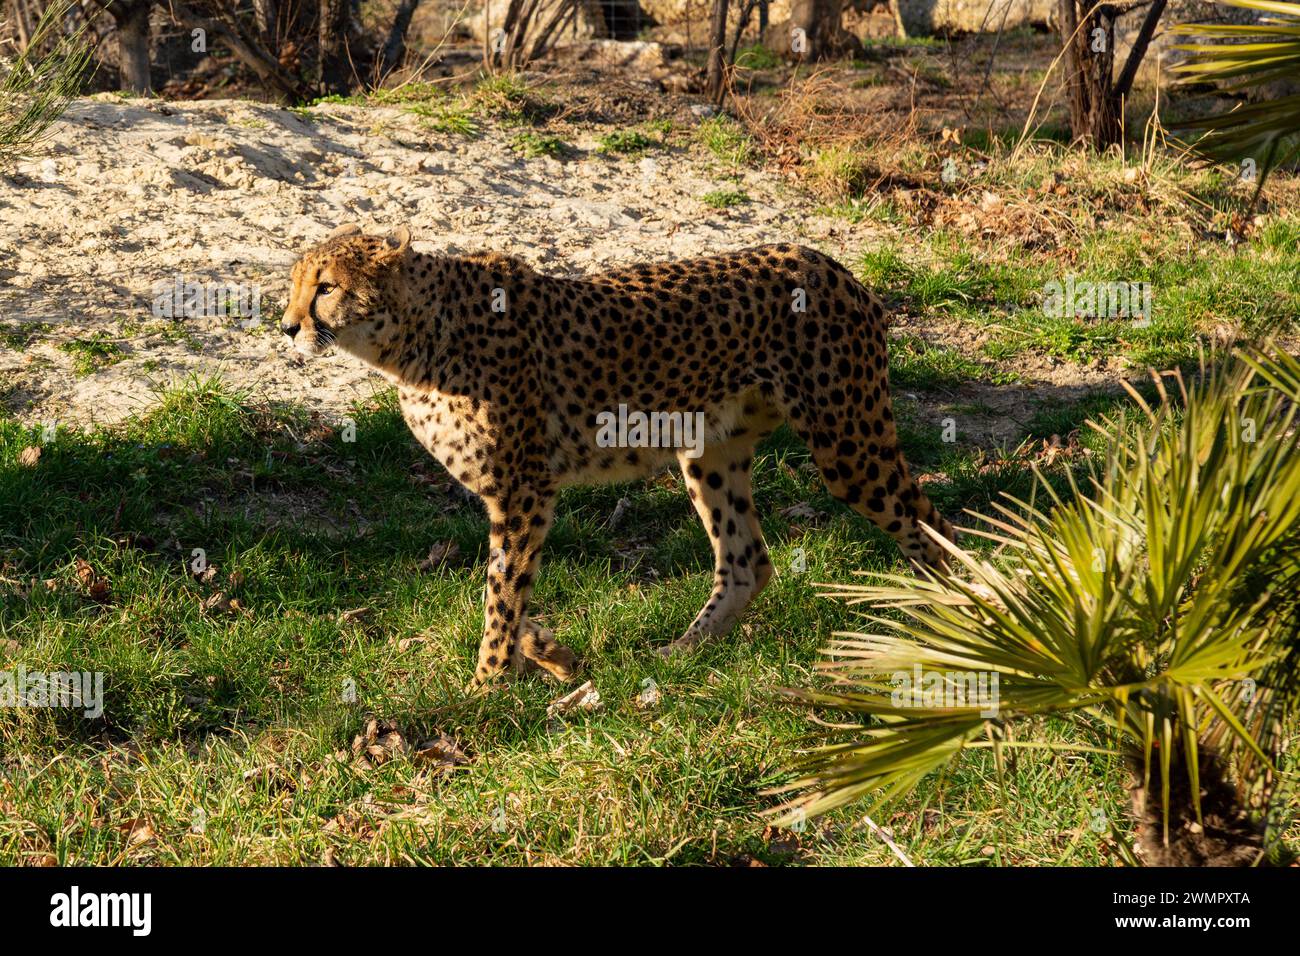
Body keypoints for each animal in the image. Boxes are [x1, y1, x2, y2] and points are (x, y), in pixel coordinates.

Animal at [282, 224, 957, 687]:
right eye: (294, 286)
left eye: (326, 288)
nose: (287, 326)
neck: (413, 342)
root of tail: (832, 265)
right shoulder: (516, 495)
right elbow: (512, 593)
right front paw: (547, 654)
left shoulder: (525, 489)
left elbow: (503, 591)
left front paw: (487, 684)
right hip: (710, 450)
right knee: (747, 561)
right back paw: (682, 652)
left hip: (848, 445)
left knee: (934, 526)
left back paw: (955, 623)